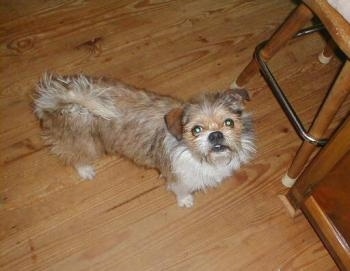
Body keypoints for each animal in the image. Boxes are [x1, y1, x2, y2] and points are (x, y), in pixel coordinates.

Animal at [34, 73, 254, 208]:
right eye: (196, 130)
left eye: (229, 122)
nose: (216, 135)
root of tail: (55, 97)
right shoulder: (177, 177)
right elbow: (181, 190)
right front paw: (185, 201)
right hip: (84, 142)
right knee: (75, 156)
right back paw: (86, 170)